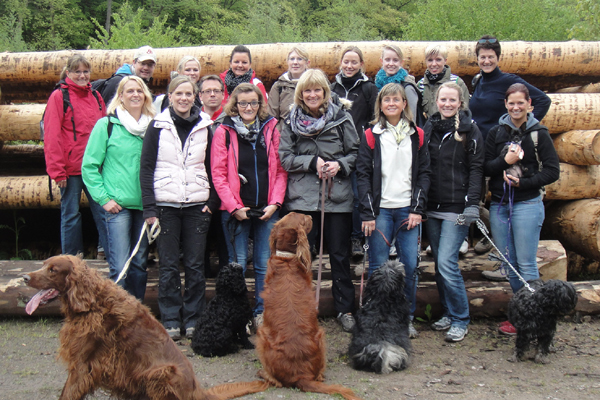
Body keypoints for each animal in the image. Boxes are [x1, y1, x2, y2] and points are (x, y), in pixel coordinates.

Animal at [23, 255, 268, 400]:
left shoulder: (83, 366)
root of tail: (197, 390)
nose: (25, 277)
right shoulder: (82, 366)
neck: (91, 304)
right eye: (44, 265)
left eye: (53, 269)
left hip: (162, 372)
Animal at [254, 214, 360, 398]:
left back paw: (263, 373)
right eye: (303, 218)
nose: (311, 215)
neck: (286, 258)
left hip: (262, 335)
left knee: (276, 381)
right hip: (320, 335)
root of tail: (301, 376)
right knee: (319, 375)